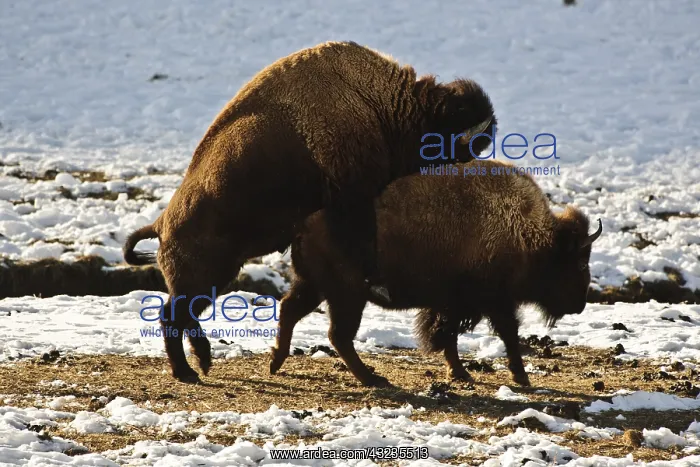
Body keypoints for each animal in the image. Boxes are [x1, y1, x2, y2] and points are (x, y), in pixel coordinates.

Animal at [122, 41, 496, 382]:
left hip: (214, 277)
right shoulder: (352, 200)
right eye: (455, 149)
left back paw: (203, 363)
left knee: (183, 316)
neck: (381, 103)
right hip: (205, 277)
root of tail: (160, 224)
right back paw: (189, 370)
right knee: (173, 316)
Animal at [269, 160, 602, 387]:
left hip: (316, 286)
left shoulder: (454, 304)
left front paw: (460, 373)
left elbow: (449, 336)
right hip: (347, 293)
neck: (525, 232)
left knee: (291, 310)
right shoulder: (493, 302)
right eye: (579, 263)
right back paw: (373, 379)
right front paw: (520, 377)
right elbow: (505, 333)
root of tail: (306, 220)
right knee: (338, 333)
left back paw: (277, 361)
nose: (580, 304)